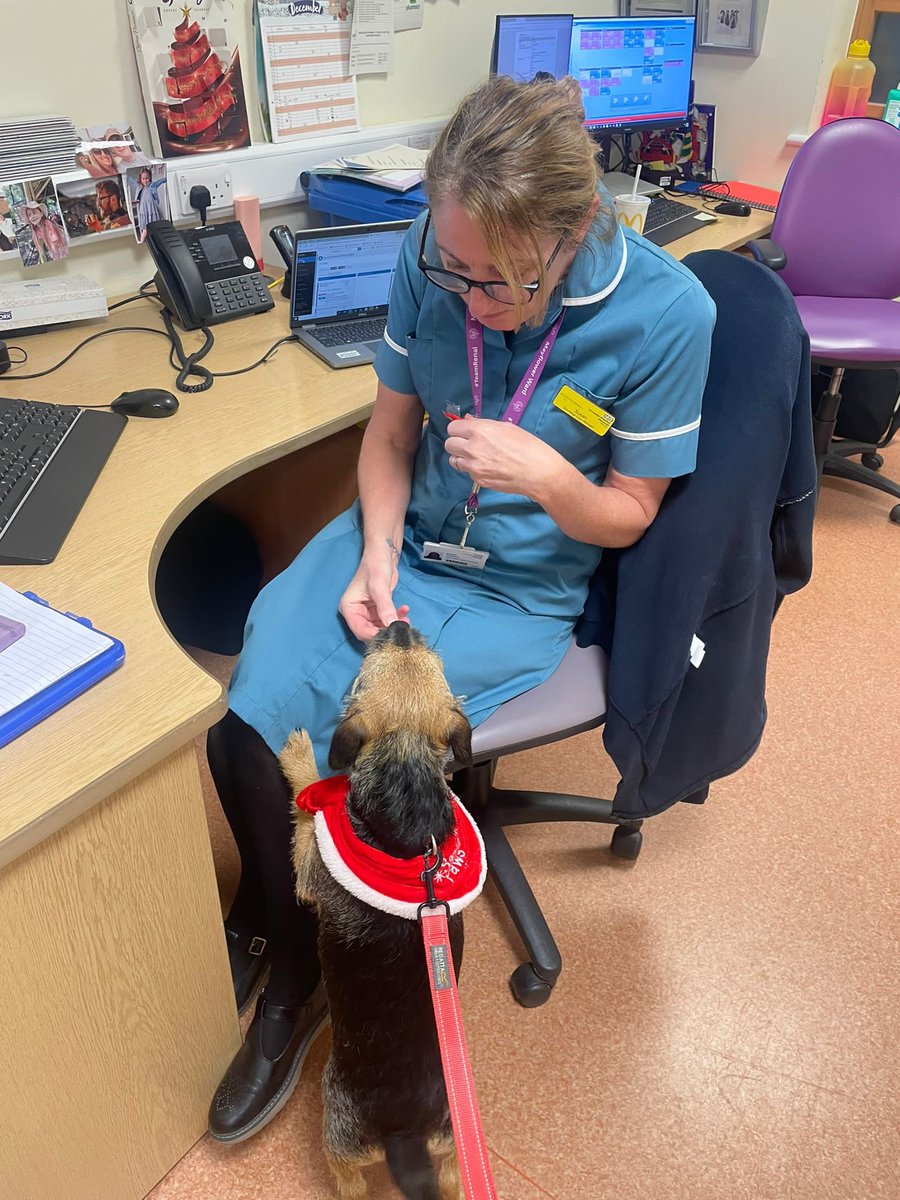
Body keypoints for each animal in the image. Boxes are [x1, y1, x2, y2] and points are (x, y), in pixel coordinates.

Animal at [280, 624, 480, 1195]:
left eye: (361, 674)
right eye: (436, 658)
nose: (401, 626)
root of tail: (403, 1133)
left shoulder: (310, 867)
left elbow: (305, 804)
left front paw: (299, 756)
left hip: (338, 1128)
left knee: (348, 1180)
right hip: (452, 1139)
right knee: (454, 1174)